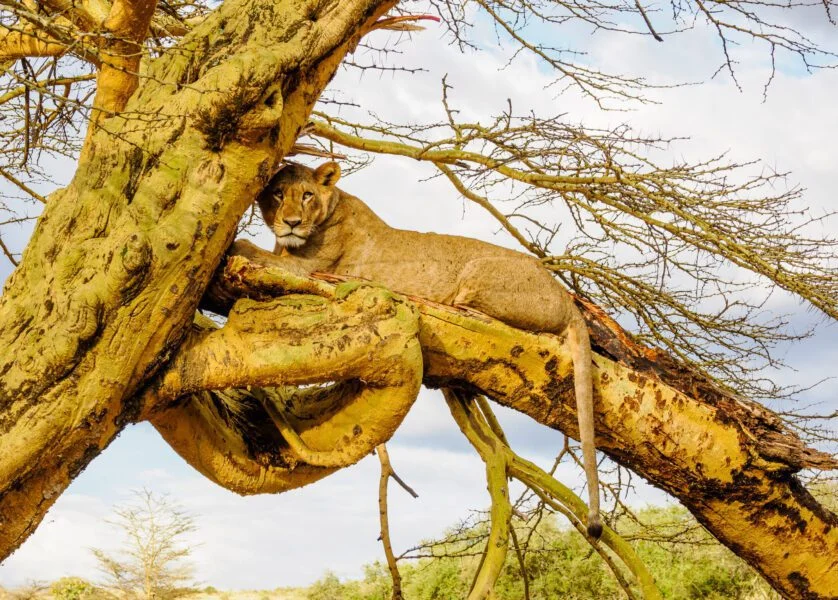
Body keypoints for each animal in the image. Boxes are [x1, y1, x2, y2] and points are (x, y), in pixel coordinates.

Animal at [231, 161, 602, 538]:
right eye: (278, 194)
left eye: (307, 195)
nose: (291, 222)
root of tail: (565, 296)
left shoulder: (309, 269)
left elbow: (247, 246)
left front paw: (234, 245)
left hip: (477, 273)